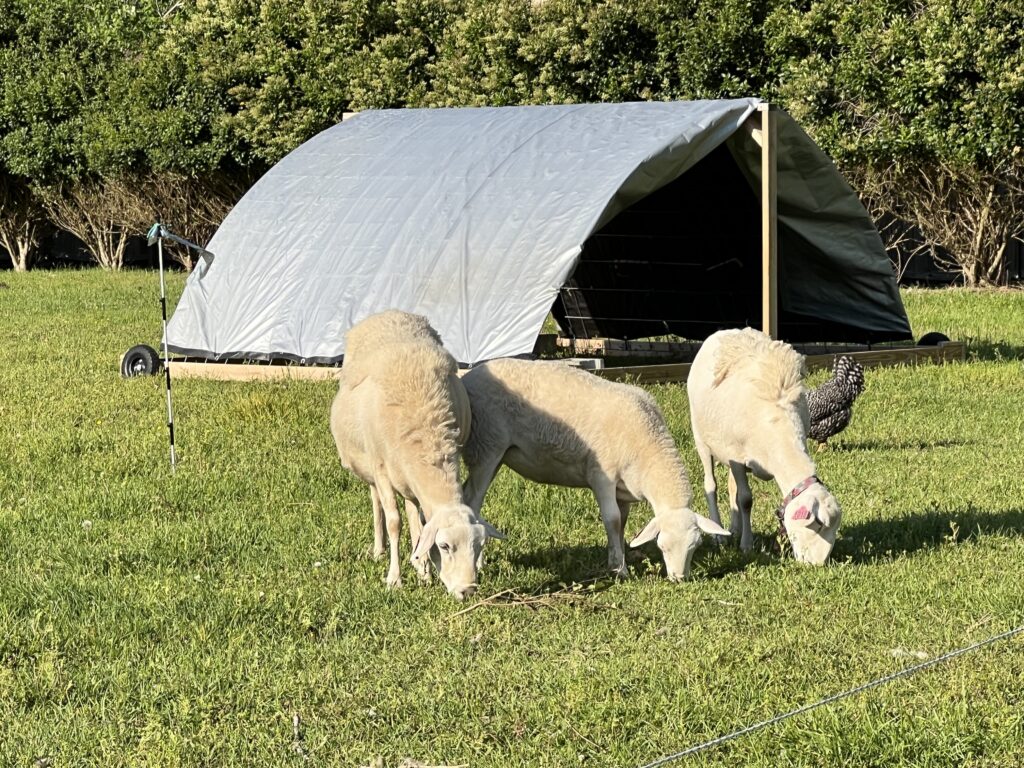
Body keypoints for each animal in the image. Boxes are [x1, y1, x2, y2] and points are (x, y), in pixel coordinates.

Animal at [329, 313, 501, 602]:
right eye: (444, 546)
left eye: (479, 545)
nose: (467, 590)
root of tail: (390, 313)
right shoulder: (381, 468)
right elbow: (394, 522)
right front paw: (394, 579)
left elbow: (419, 524)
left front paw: (423, 571)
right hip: (371, 464)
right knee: (377, 502)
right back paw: (379, 550)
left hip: (404, 474)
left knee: (413, 513)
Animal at [464, 358, 729, 581]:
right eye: (662, 545)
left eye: (695, 546)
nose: (679, 578)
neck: (647, 449)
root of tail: (469, 376)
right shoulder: (602, 478)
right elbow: (611, 519)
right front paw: (620, 570)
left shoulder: (623, 490)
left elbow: (621, 523)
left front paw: (617, 559)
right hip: (486, 446)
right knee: (473, 500)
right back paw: (478, 563)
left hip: (496, 453)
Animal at [684, 325, 843, 565]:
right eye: (818, 526)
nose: (816, 565)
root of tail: (722, 332)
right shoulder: (737, 457)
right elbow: (746, 500)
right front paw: (747, 545)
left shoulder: (736, 457)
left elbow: (738, 495)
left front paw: (742, 536)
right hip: (701, 439)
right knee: (711, 485)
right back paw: (719, 533)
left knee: (731, 487)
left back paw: (733, 528)